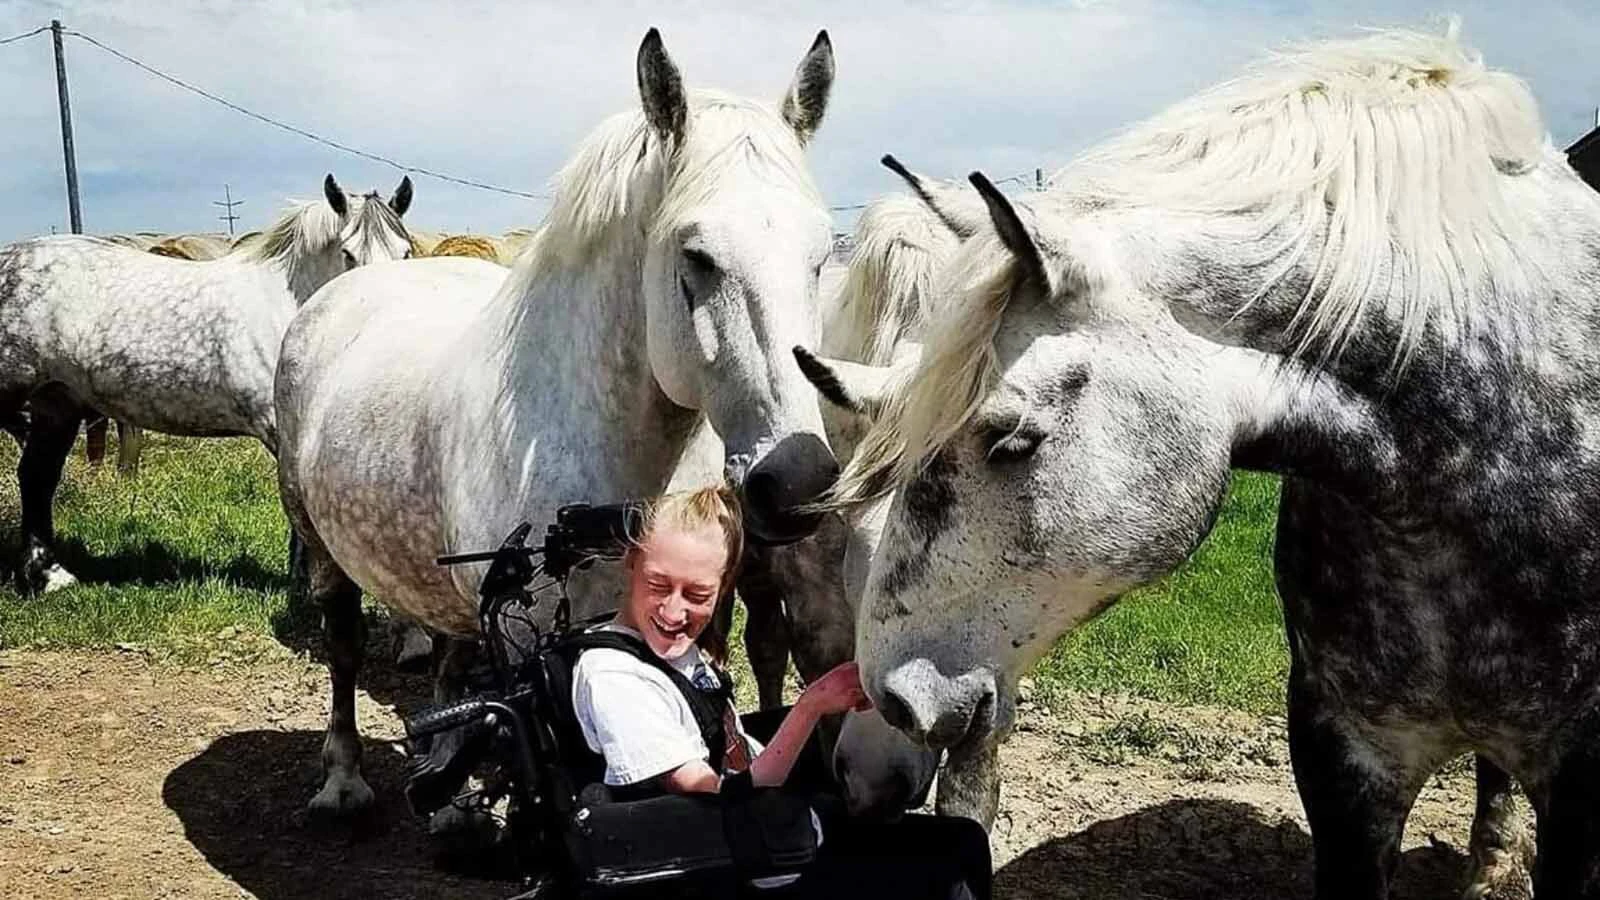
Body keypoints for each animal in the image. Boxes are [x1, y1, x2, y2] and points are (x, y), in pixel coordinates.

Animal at [274, 28, 842, 817]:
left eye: (820, 256)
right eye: (696, 257)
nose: (798, 483)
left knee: (449, 656)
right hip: (324, 551)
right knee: (344, 648)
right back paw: (343, 780)